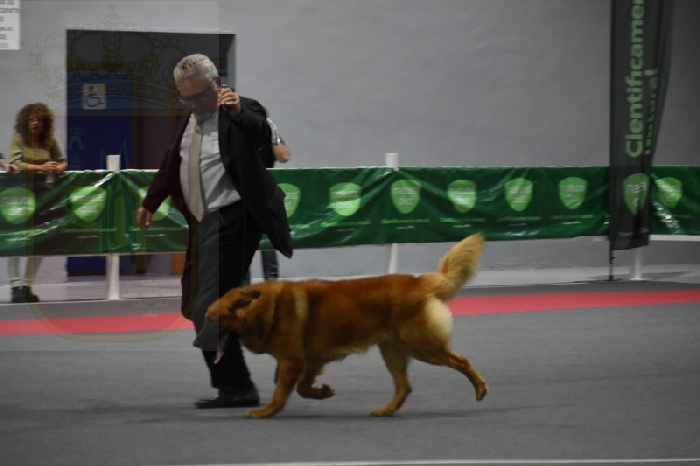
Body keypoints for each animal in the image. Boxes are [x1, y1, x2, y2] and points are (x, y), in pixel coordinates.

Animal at [193, 233, 488, 418]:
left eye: (211, 320)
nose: (196, 343)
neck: (266, 309)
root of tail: (419, 281)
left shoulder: (292, 362)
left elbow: (281, 393)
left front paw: (265, 412)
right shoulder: (309, 361)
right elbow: (302, 388)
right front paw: (322, 392)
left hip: (422, 346)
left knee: (460, 360)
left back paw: (480, 388)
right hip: (392, 351)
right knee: (405, 387)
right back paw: (386, 410)